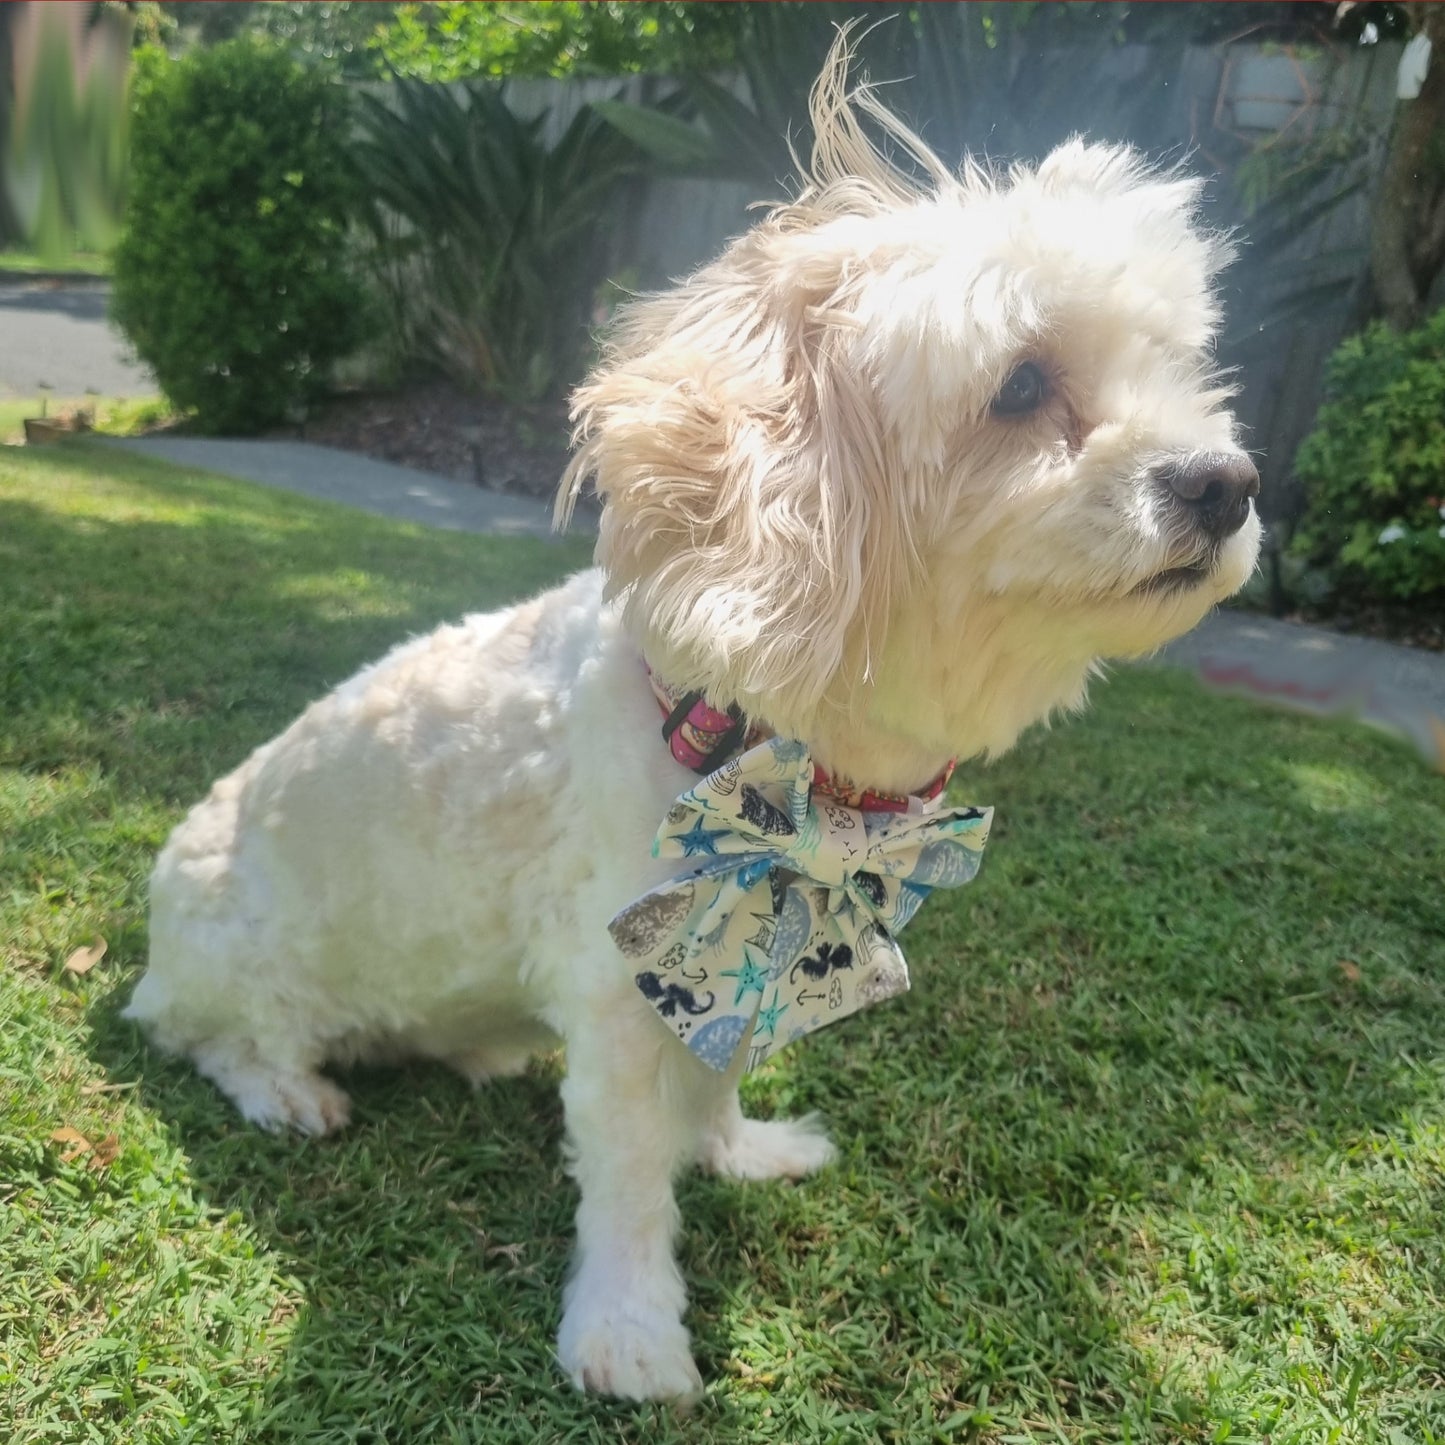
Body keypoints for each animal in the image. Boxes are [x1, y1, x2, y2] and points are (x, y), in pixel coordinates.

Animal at [124, 39, 1260, 1404]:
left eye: (1179, 368)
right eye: (1020, 383)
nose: (1225, 482)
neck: (747, 747)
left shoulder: (738, 957)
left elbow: (717, 1067)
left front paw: (735, 1148)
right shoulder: (620, 986)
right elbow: (624, 1174)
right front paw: (626, 1329)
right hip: (241, 962)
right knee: (217, 1040)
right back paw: (286, 1091)